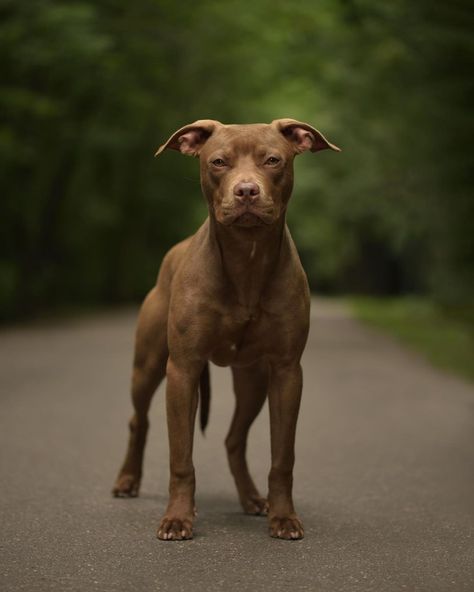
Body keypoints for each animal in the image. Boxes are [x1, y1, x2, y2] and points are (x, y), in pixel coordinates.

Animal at [112, 119, 338, 540]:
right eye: (218, 162)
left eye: (272, 160)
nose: (246, 191)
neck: (245, 259)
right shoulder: (182, 370)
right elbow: (181, 457)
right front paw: (178, 518)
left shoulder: (286, 371)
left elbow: (282, 456)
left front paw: (283, 517)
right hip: (148, 368)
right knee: (140, 420)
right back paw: (127, 480)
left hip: (252, 380)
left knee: (234, 439)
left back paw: (251, 498)